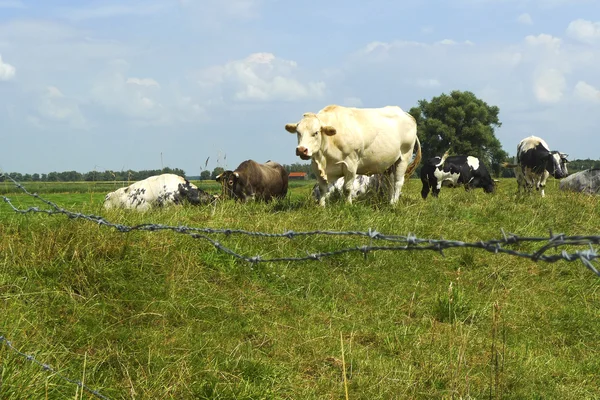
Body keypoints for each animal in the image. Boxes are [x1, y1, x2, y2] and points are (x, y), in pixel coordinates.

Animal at [284, 103, 422, 206]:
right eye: (298, 132)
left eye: (316, 132)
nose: (301, 150)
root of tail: (406, 114)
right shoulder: (316, 167)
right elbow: (323, 188)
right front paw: (321, 207)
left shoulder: (350, 164)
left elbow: (347, 188)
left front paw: (348, 205)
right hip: (389, 164)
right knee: (390, 183)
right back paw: (390, 202)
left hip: (404, 157)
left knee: (398, 182)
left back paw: (394, 203)